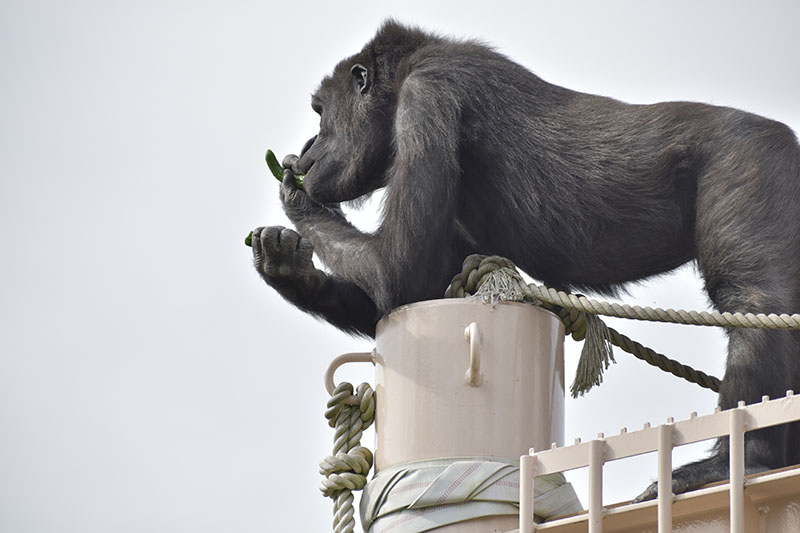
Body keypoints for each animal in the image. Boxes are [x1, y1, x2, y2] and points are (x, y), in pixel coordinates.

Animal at [252, 18, 800, 496]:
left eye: (320, 112)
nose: (309, 146)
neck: (402, 81)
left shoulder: (428, 96)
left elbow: (397, 268)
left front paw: (298, 200)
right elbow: (413, 293)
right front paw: (287, 266)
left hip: (750, 157)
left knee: (753, 298)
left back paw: (739, 460)